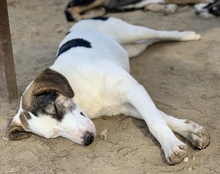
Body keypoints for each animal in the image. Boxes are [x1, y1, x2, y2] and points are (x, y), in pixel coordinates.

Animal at [3, 17, 210, 164]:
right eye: (54, 135)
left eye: (55, 110)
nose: (88, 139)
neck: (82, 95)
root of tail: (79, 23)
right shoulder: (124, 106)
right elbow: (161, 117)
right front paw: (191, 132)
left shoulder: (133, 90)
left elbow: (155, 122)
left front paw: (171, 146)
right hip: (133, 49)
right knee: (148, 42)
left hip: (128, 31)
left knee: (158, 33)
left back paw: (188, 35)